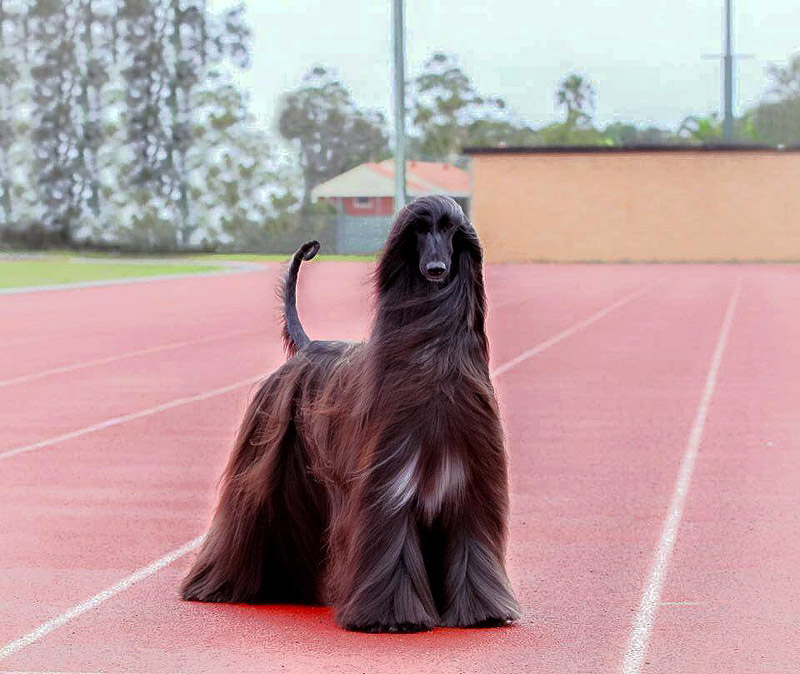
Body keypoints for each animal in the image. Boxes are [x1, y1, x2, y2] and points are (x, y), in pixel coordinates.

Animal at [180, 193, 520, 632]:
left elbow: (470, 549)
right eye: (418, 231)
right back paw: (217, 586)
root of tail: (308, 345)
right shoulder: (387, 488)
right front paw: (393, 615)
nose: (436, 269)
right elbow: (393, 549)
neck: (432, 360)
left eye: (450, 230)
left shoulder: (471, 489)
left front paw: (481, 611)